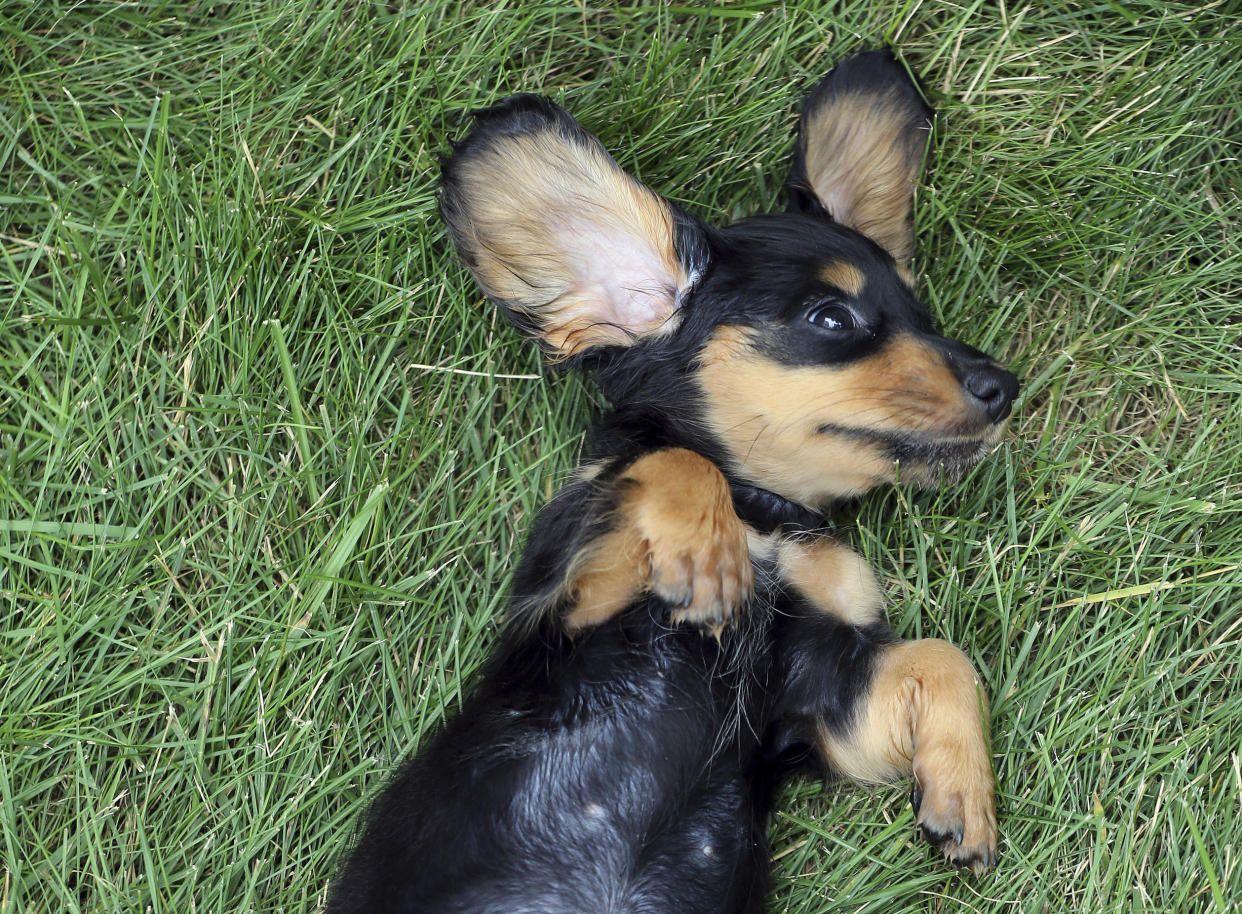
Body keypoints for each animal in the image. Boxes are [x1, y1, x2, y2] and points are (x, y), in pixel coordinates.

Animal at [330, 51, 1018, 914]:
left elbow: (944, 656)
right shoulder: (579, 590)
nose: (1005, 388)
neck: (769, 518)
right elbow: (673, 461)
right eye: (831, 319)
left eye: (924, 319)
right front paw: (704, 556)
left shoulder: (829, 696)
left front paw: (963, 796)